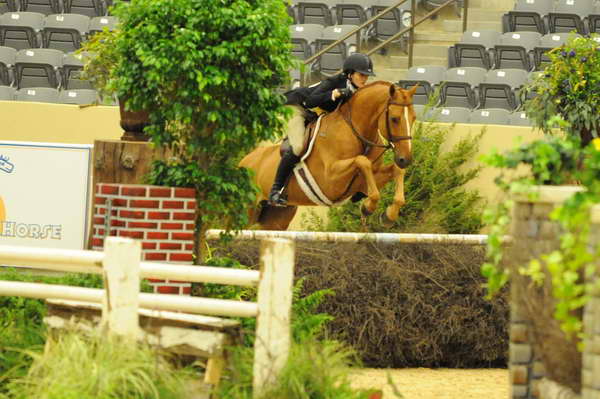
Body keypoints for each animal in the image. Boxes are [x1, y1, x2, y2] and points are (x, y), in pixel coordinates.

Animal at [239, 80, 418, 231]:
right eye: (394, 119)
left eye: (414, 118)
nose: (405, 159)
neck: (356, 132)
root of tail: (243, 161)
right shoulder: (330, 180)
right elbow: (362, 161)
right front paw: (368, 207)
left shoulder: (362, 182)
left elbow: (396, 171)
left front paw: (389, 215)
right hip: (247, 211)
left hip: (276, 218)